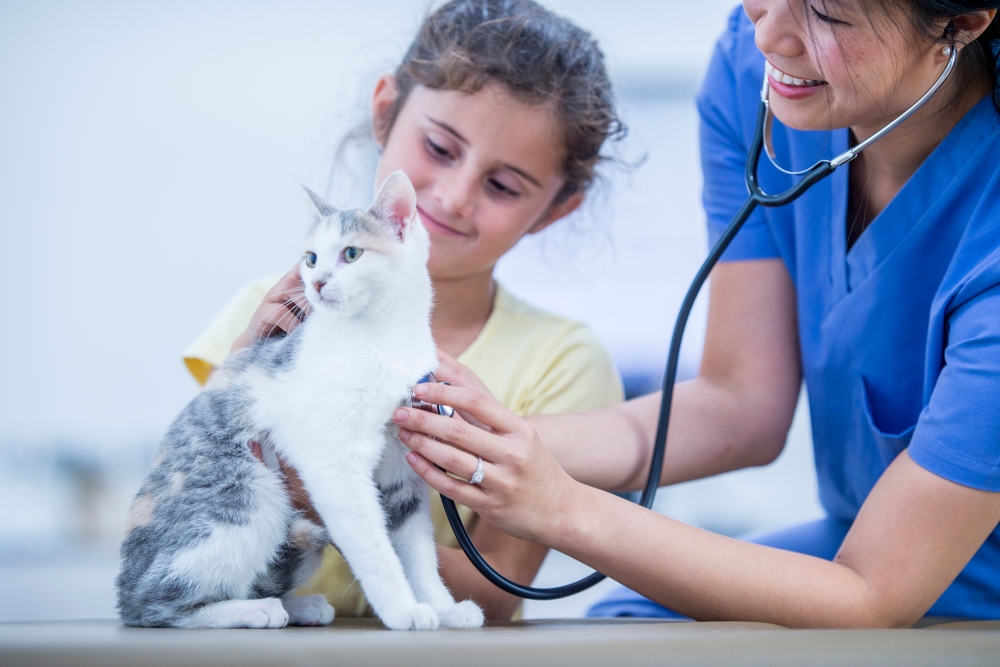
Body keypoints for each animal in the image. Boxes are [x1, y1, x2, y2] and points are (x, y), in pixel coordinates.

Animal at [117, 172, 484, 632]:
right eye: (310, 258)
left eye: (351, 253)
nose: (318, 281)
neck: (382, 337)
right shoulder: (334, 465)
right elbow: (375, 550)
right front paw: (403, 610)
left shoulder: (403, 476)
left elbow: (419, 555)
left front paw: (443, 606)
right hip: (250, 493)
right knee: (153, 606)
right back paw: (252, 609)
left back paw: (297, 606)